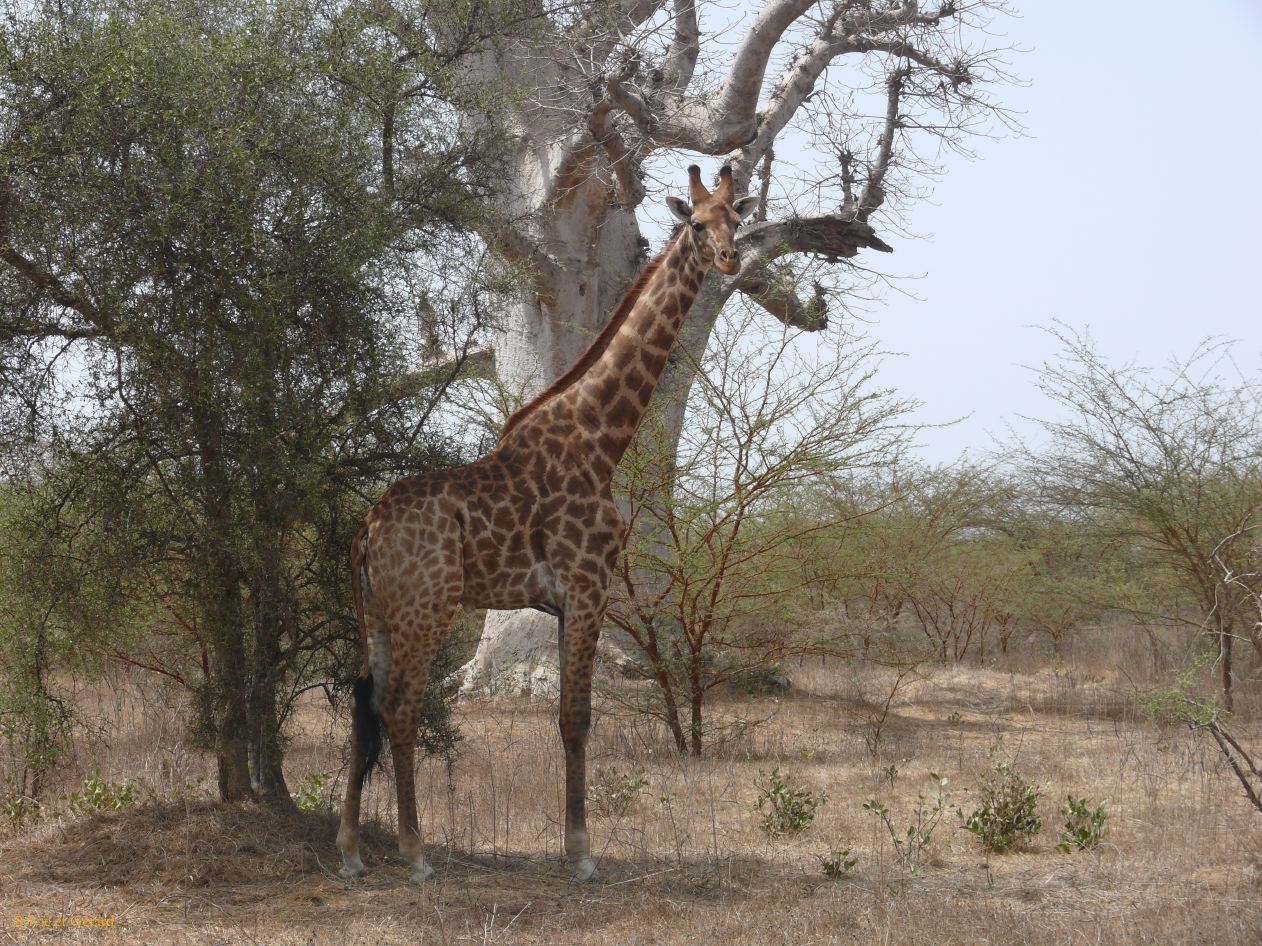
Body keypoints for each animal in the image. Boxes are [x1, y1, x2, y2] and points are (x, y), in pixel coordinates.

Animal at [336, 165, 758, 884]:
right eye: (698, 224)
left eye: (739, 219)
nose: (730, 258)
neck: (600, 437)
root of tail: (368, 530)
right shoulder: (588, 585)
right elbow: (577, 718)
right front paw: (582, 854)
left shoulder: (562, 600)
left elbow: (566, 718)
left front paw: (573, 846)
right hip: (428, 606)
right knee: (400, 707)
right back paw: (416, 854)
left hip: (379, 613)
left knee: (367, 705)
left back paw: (351, 851)